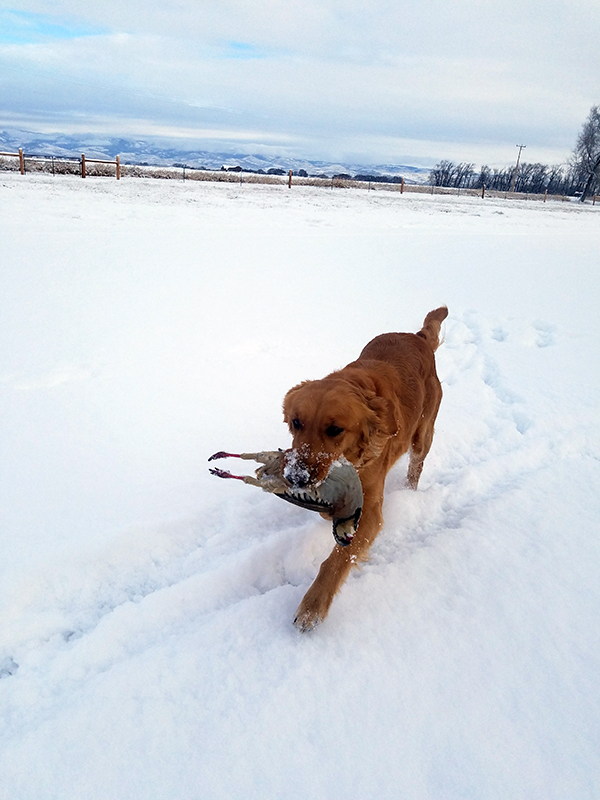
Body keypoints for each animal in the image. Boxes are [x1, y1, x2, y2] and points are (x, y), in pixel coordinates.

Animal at [284, 306, 448, 632]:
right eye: (296, 422)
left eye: (335, 429)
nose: (296, 478)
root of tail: (418, 336)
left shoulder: (370, 510)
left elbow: (337, 560)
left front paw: (312, 606)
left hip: (423, 434)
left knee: (415, 468)